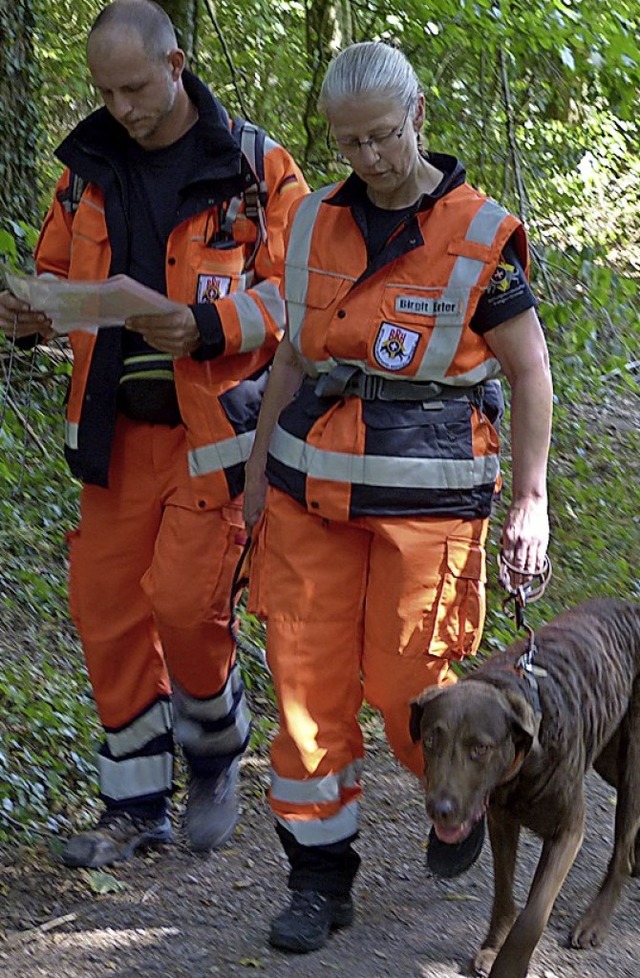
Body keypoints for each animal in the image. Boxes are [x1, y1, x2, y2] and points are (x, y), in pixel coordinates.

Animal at [410, 596, 640, 976]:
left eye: (480, 748)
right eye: (430, 739)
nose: (440, 810)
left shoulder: (567, 831)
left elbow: (533, 917)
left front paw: (508, 967)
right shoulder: (501, 820)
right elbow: (504, 891)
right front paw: (492, 947)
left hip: (632, 758)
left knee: (620, 848)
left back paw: (595, 921)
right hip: (610, 757)